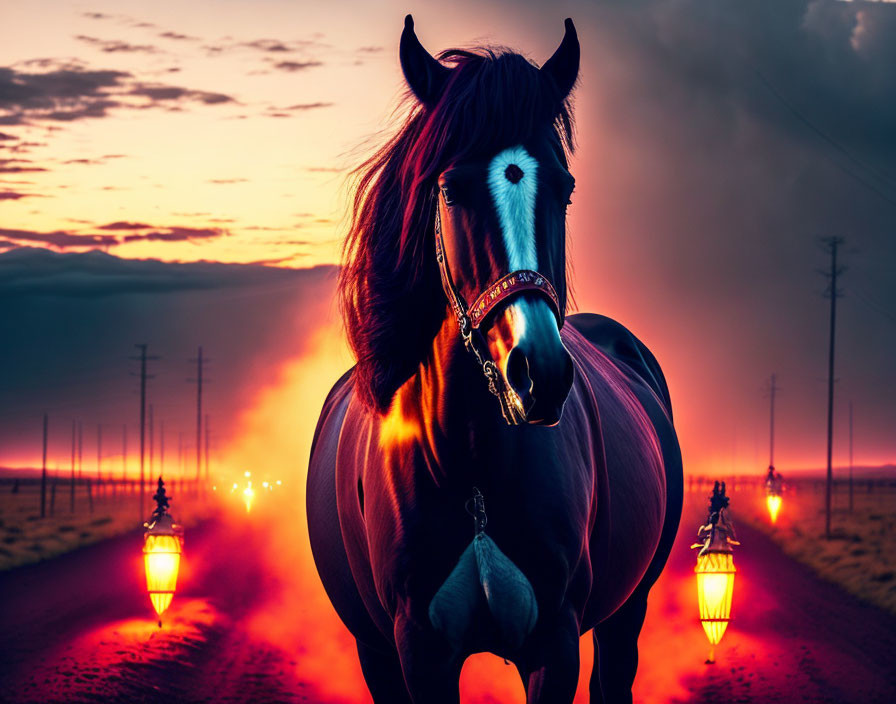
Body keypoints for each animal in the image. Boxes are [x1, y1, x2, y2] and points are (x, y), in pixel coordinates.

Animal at [306, 16, 680, 704]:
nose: (541, 374)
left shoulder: (555, 644)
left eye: (565, 190)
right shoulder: (417, 653)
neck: (471, 467)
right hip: (374, 652)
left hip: (628, 612)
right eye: (451, 189)